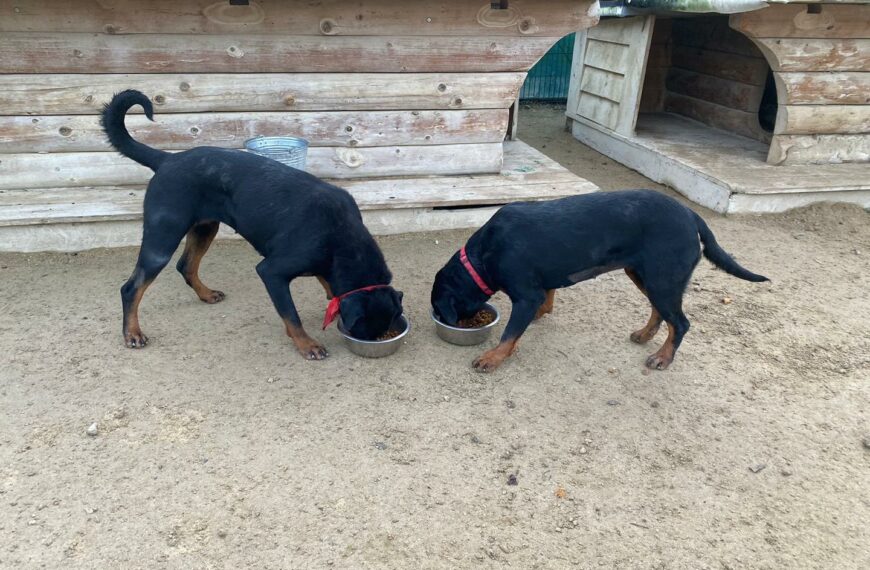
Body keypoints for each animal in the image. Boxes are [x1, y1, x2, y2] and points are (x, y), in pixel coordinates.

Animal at [103, 89, 406, 358]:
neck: (342, 238)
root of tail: (167, 159)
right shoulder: (272, 271)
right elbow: (291, 315)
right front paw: (307, 344)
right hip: (162, 237)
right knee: (131, 288)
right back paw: (132, 333)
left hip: (205, 228)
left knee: (185, 265)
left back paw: (206, 294)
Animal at [430, 189, 768, 370]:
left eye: (438, 309)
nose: (441, 320)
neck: (482, 257)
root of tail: (690, 214)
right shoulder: (542, 284)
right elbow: (548, 297)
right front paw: (542, 314)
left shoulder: (525, 295)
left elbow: (509, 335)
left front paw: (493, 358)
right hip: (644, 275)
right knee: (661, 313)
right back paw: (645, 335)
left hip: (662, 279)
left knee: (681, 323)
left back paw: (662, 357)